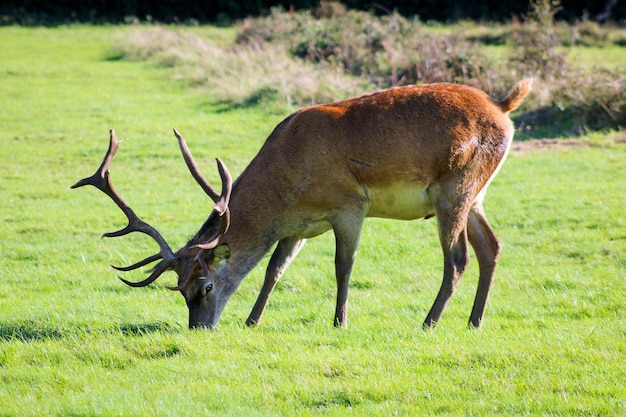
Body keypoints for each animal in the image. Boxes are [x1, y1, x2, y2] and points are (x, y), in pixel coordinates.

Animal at [73, 79, 532, 330]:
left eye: (204, 286)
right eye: (180, 290)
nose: (198, 329)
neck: (287, 188)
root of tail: (503, 107)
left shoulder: (349, 205)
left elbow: (343, 267)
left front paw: (339, 321)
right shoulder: (300, 226)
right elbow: (274, 269)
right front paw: (252, 320)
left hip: (455, 187)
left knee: (458, 258)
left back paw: (429, 322)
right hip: (476, 194)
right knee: (491, 247)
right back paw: (474, 321)